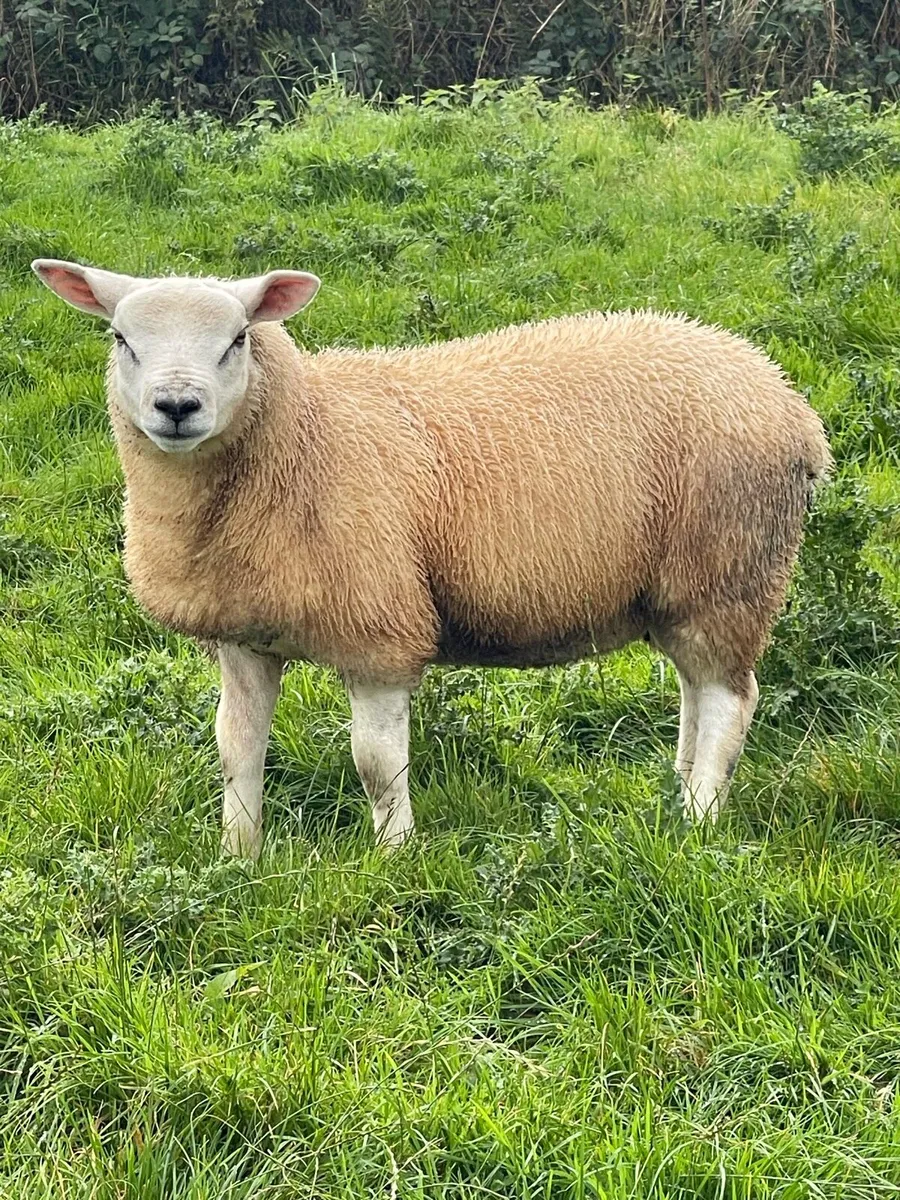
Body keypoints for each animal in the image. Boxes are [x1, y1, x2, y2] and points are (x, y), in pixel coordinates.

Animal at [32, 258, 832, 859]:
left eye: (236, 339)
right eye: (120, 338)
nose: (176, 406)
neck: (306, 432)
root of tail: (789, 401)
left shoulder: (380, 630)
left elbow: (377, 764)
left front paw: (394, 855)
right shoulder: (244, 635)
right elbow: (238, 748)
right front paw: (239, 857)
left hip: (729, 567)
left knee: (729, 700)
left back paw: (698, 819)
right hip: (683, 590)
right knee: (697, 690)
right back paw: (679, 791)